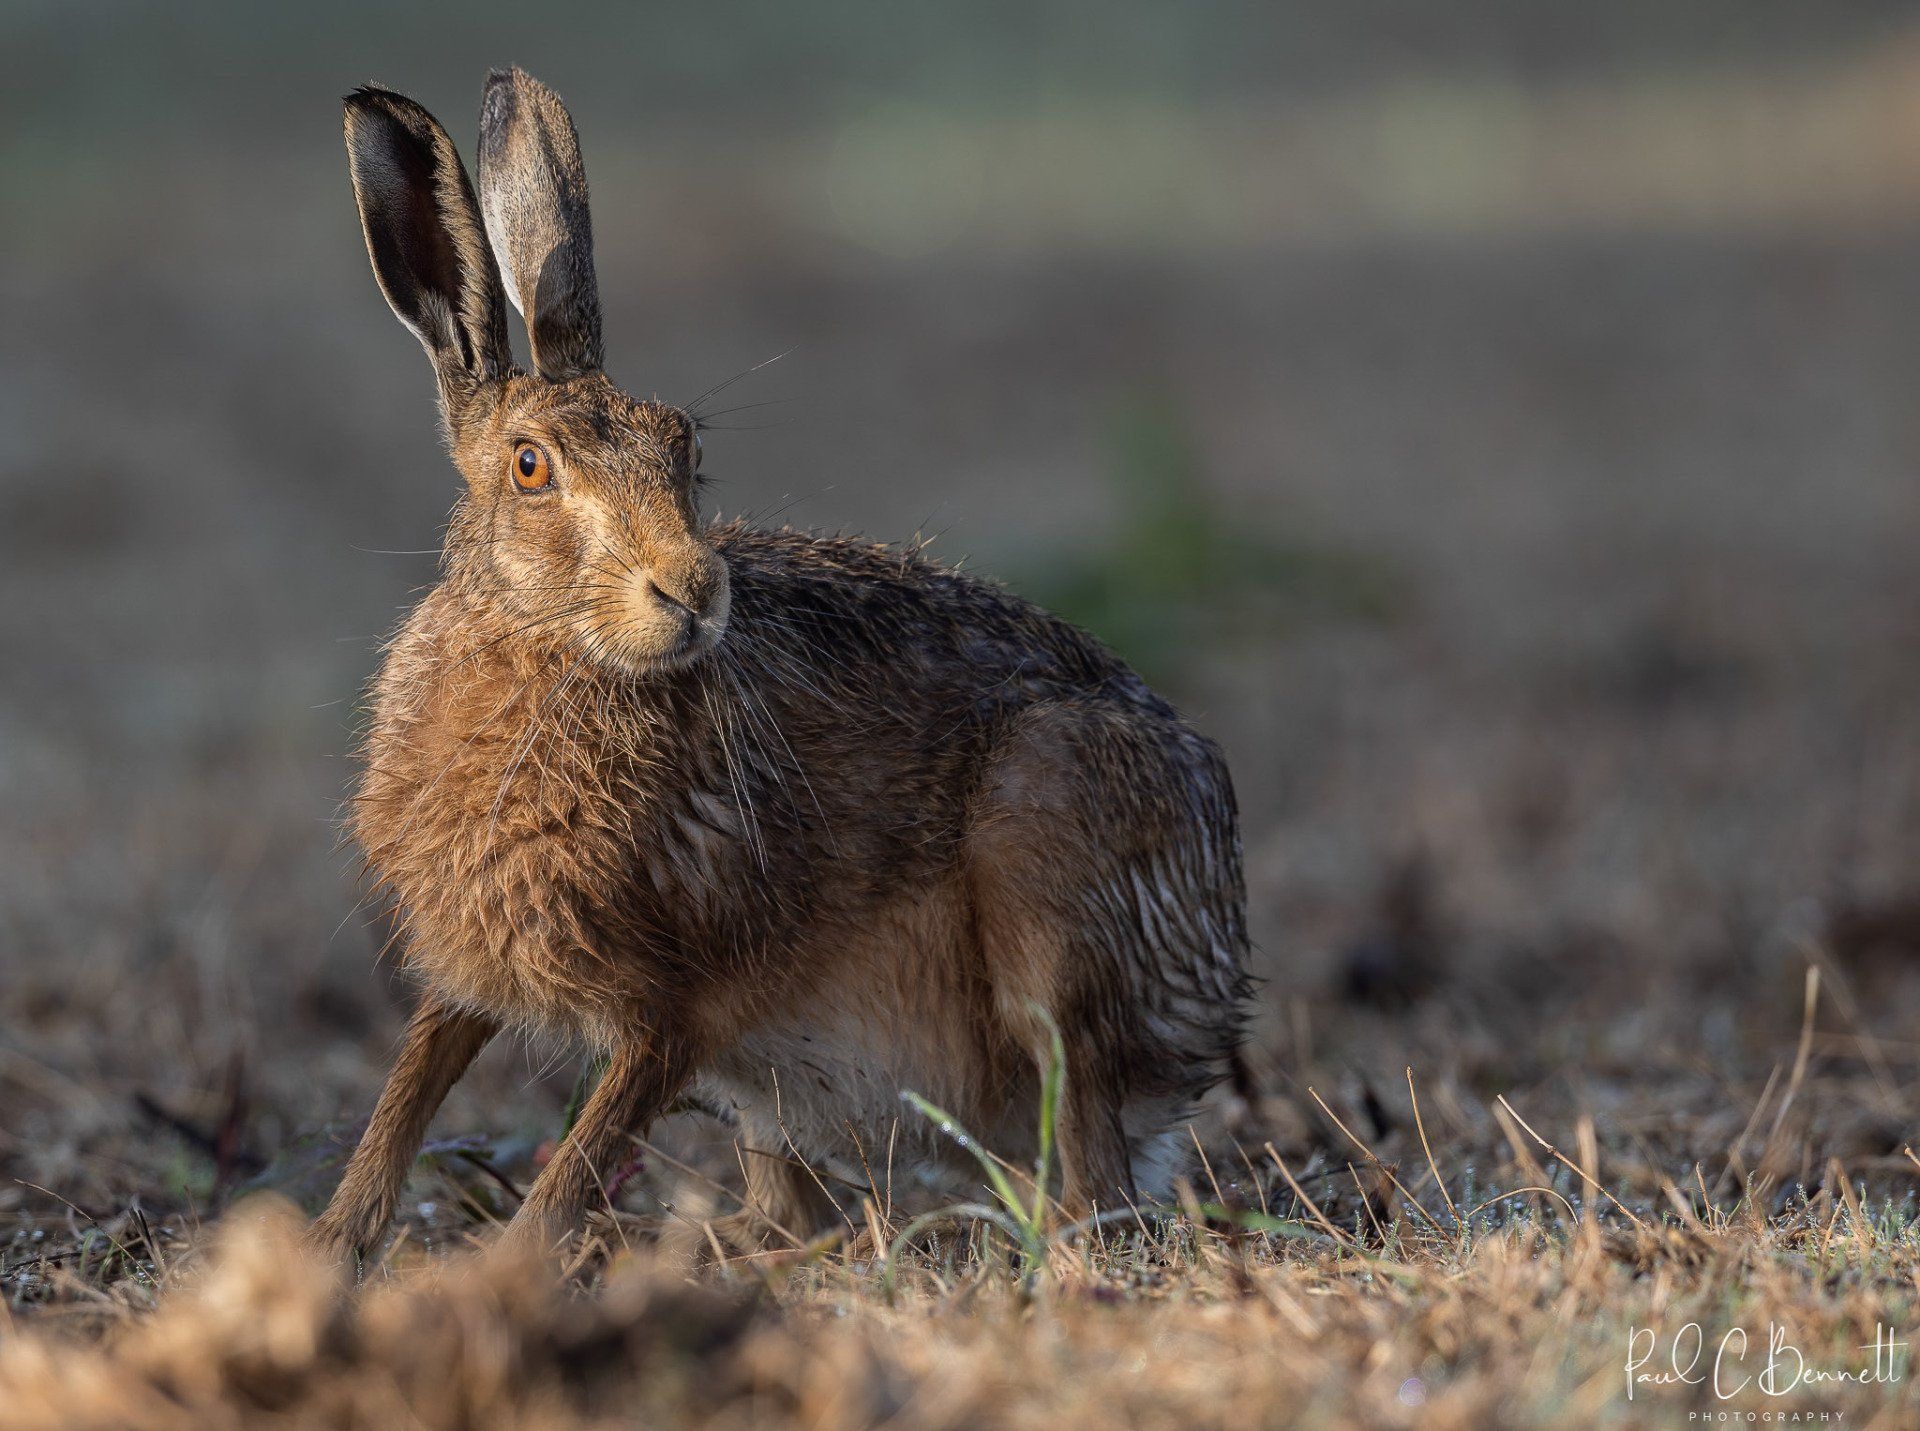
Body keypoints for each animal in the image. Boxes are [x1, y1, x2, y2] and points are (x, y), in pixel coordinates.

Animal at [308, 67, 1251, 1262]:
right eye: (529, 467)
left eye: (688, 451)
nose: (692, 591)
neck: (550, 652)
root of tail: (1215, 977)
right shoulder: (470, 975)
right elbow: (401, 1101)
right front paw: (329, 1245)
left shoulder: (678, 1006)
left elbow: (571, 1168)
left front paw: (493, 1273)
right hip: (774, 1088)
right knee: (800, 1202)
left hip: (1048, 881)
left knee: (1087, 1167)